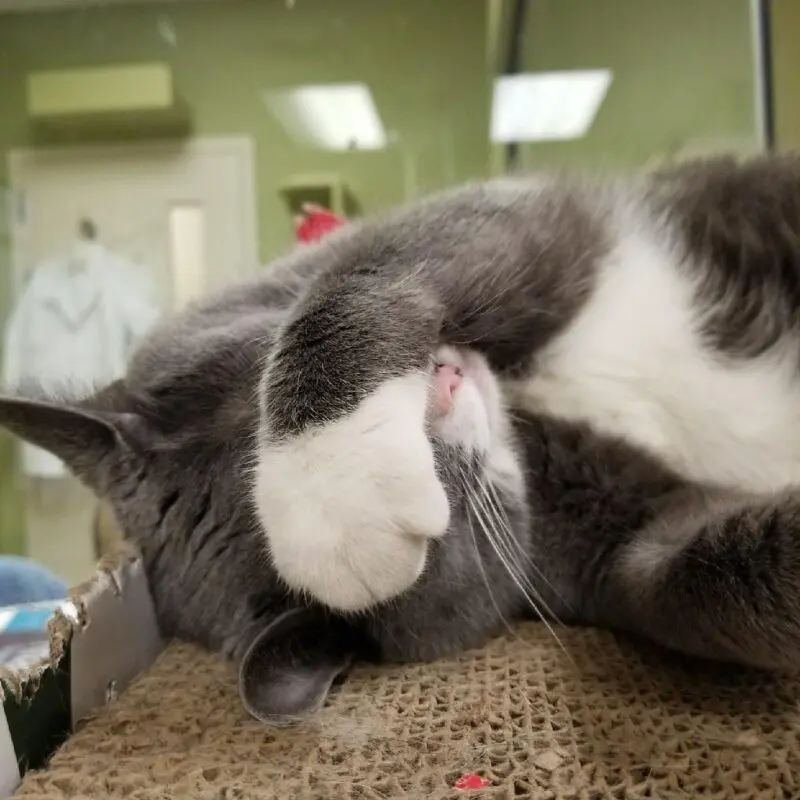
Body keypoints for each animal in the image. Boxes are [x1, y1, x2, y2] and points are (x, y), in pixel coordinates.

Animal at [1, 155, 800, 724]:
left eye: (258, 383)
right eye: (442, 535)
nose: (440, 381)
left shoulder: (503, 220)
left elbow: (370, 272)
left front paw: (329, 485)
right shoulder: (619, 545)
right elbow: (707, 572)